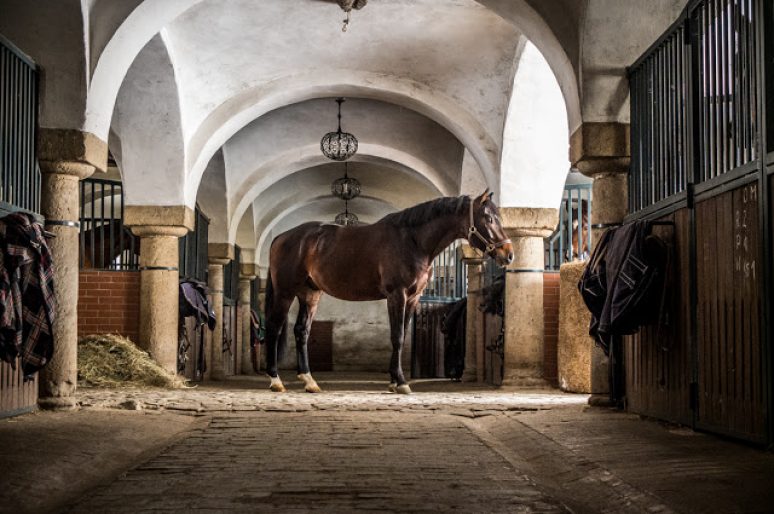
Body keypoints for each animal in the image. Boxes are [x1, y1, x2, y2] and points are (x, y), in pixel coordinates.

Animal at [266, 190, 516, 394]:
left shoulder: (413, 298)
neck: (413, 241)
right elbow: (397, 336)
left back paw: (309, 381)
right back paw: (276, 380)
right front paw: (402, 382)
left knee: (302, 331)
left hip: (310, 295)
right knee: (275, 328)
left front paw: (394, 381)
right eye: (489, 218)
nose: (508, 254)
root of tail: (281, 237)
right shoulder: (397, 295)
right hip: (285, 293)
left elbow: (402, 335)